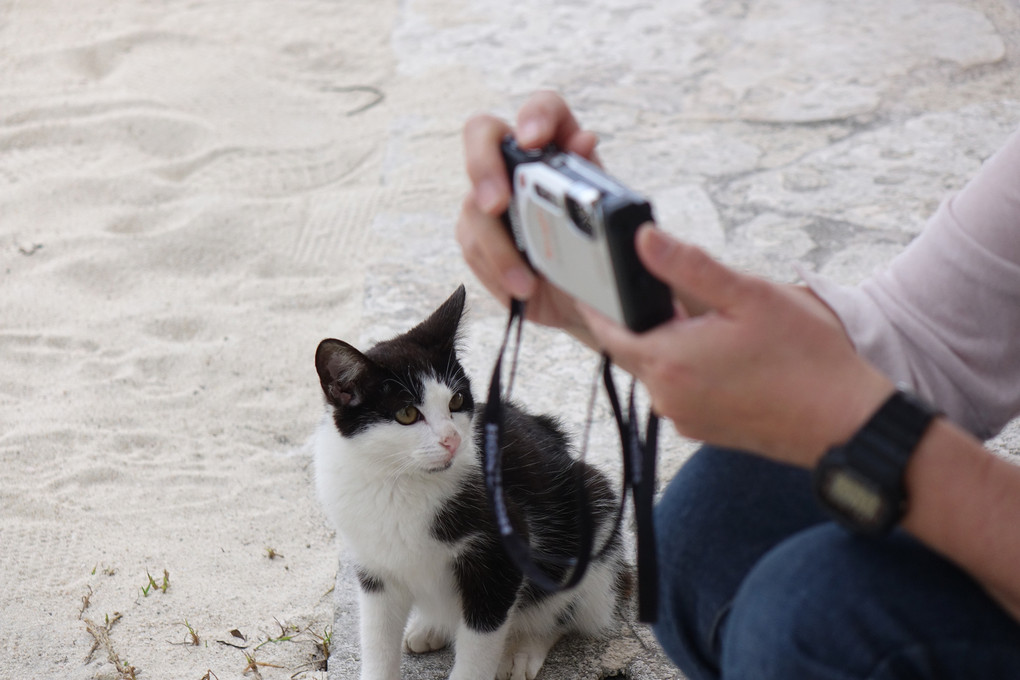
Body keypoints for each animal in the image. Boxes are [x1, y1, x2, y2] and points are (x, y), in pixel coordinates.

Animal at [314, 285, 624, 680]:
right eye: (406, 413)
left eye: (457, 400)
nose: (453, 440)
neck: (398, 480)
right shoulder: (373, 563)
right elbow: (377, 635)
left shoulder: (502, 552)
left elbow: (481, 637)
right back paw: (431, 627)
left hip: (594, 521)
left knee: (562, 610)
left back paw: (525, 648)